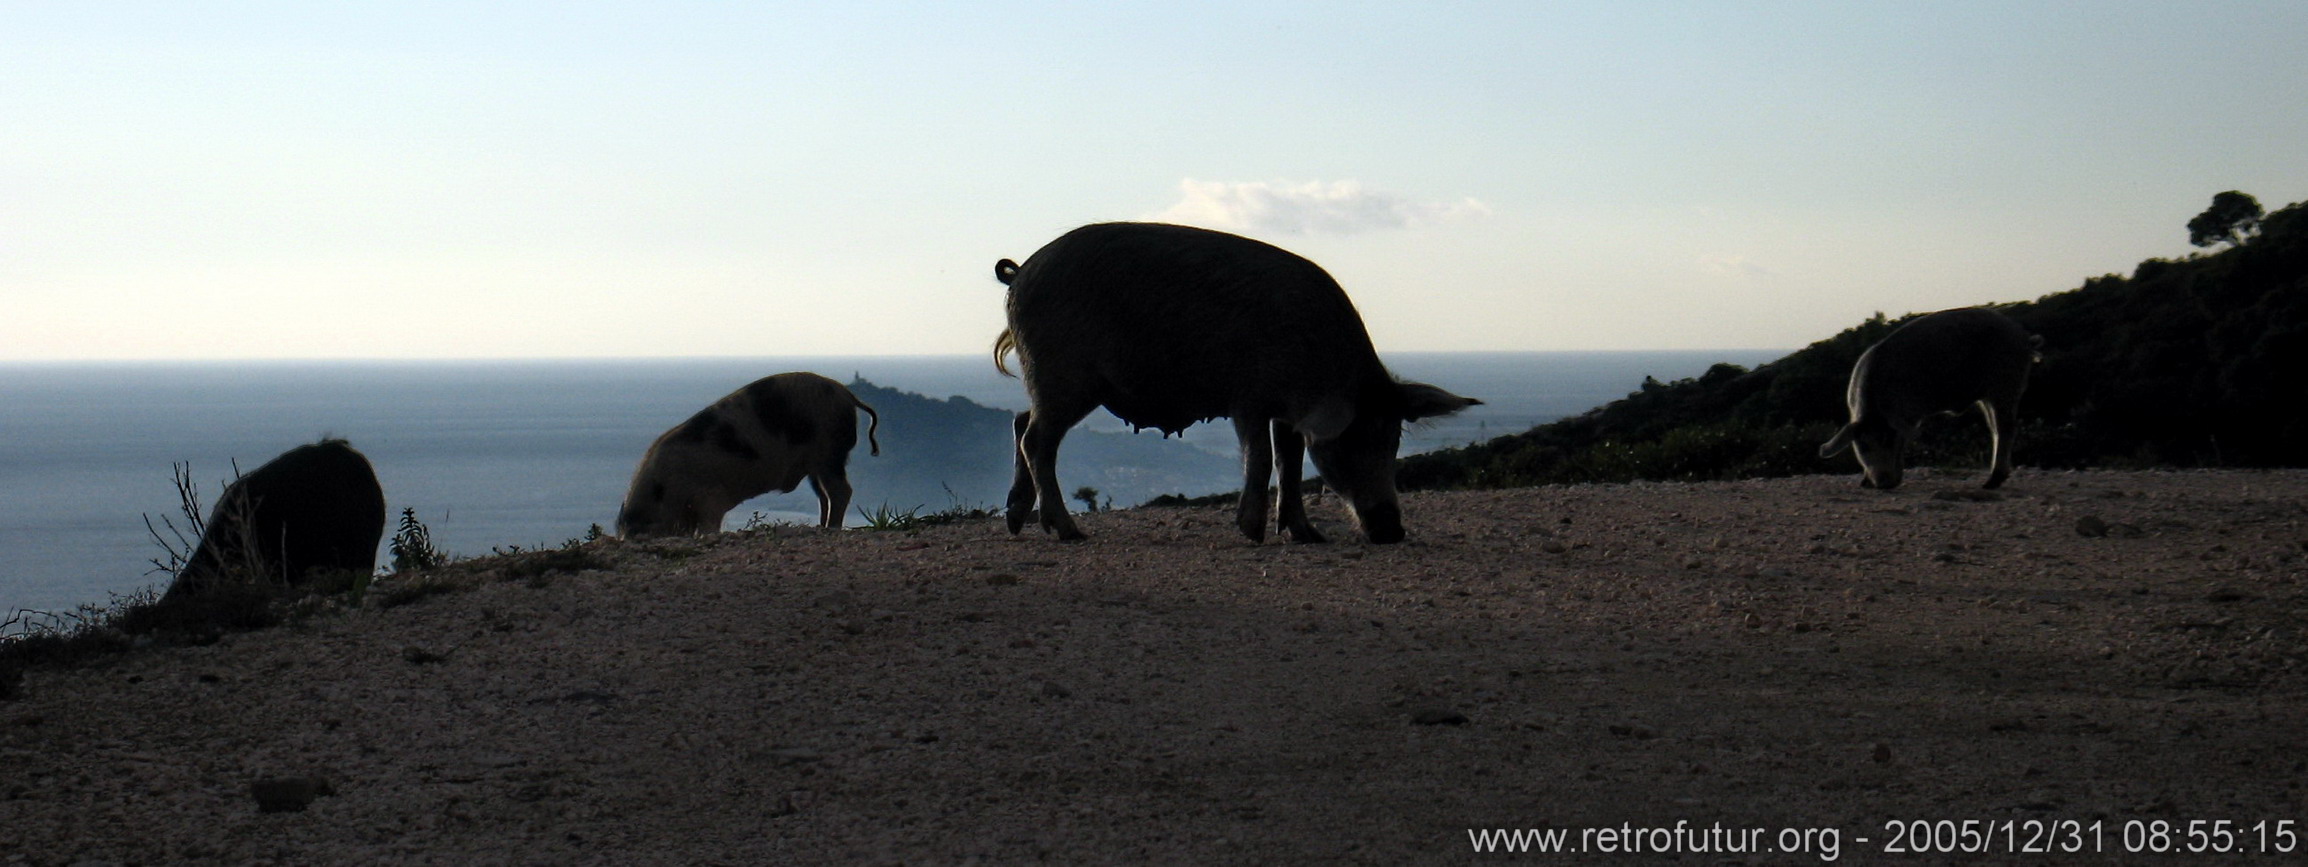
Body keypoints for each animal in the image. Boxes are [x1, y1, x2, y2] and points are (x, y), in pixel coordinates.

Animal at [613, 373, 881, 534]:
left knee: (841, 491)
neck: (664, 488)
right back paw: (820, 526)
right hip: (817, 463)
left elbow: (709, 525)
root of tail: (848, 396)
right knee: (823, 496)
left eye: (642, 528)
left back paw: (832, 529)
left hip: (829, 453)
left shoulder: (710, 496)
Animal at [992, 221, 1477, 541]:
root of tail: (1021, 272)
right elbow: (1259, 457)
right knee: (1036, 439)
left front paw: (1307, 535)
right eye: (1349, 441)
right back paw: (1069, 532)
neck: (1316, 361)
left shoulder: (1287, 414)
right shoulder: (1248, 398)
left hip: (1055, 383)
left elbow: (1289, 461)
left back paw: (1018, 522)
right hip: (1063, 376)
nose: (1392, 530)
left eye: (1393, 439)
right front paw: (1252, 533)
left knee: (1020, 420)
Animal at [1818, 308, 2040, 491]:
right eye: (1863, 446)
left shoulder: (1907, 415)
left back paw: (1990, 483)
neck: (1875, 411)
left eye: (1889, 441)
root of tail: (2025, 337)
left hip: (2005, 383)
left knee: (2006, 428)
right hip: (1989, 394)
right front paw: (1864, 483)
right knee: (1995, 427)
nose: (1883, 483)